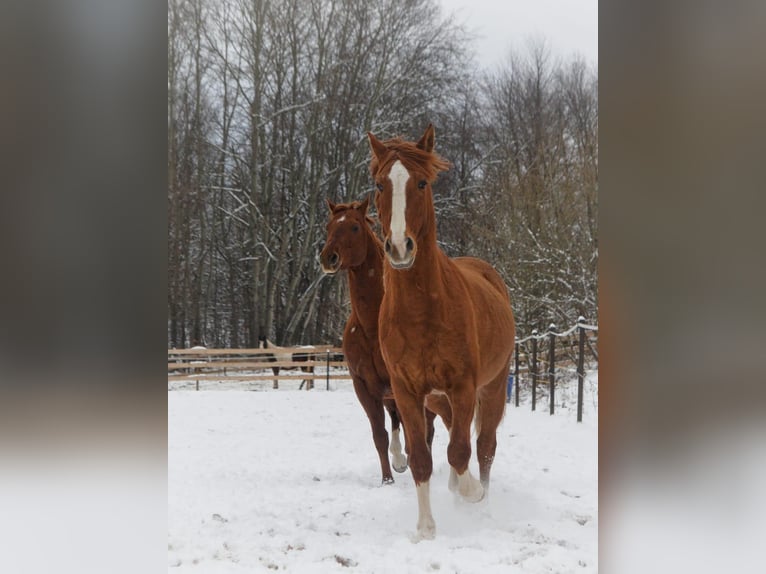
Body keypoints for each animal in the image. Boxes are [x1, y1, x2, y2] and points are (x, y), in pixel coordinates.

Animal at [319, 197, 452, 485]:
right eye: (329, 226)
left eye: (355, 227)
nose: (328, 257)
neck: (371, 326)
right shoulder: (364, 387)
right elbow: (380, 435)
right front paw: (387, 479)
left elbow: (414, 435)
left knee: (431, 429)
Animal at [367, 124, 516, 540]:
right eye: (380, 184)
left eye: (421, 182)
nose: (400, 247)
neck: (422, 314)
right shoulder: (407, 392)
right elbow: (421, 458)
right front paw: (426, 528)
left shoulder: (463, 386)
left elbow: (461, 451)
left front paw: (472, 493)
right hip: (438, 400)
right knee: (455, 437)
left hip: (492, 387)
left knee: (484, 445)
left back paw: (481, 498)